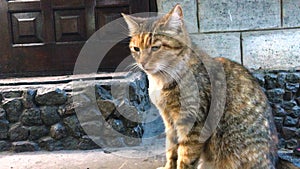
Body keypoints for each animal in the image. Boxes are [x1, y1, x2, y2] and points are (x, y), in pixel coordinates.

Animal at [122, 4, 298, 169]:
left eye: (156, 47)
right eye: (136, 49)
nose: (142, 63)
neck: (162, 79)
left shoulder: (192, 124)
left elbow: (184, 157)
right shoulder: (169, 121)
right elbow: (171, 151)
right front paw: (168, 166)